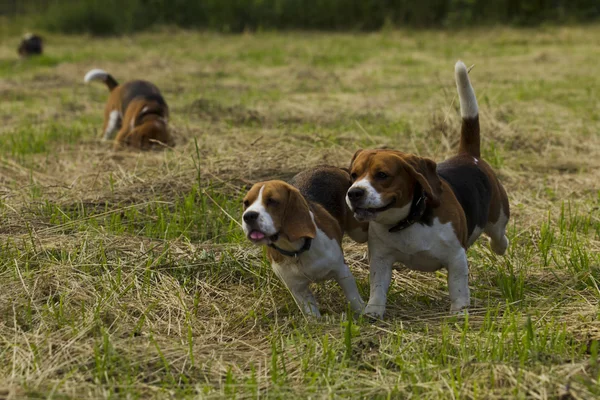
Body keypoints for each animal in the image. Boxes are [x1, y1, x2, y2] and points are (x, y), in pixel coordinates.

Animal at [241, 165, 368, 316]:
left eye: (272, 201)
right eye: (246, 203)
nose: (248, 216)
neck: (296, 248)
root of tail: (332, 167)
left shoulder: (342, 271)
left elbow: (353, 298)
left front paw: (364, 313)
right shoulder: (298, 289)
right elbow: (312, 315)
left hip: (359, 231)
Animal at [346, 61, 510, 318]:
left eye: (382, 175)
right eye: (353, 175)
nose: (354, 193)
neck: (408, 222)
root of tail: (468, 156)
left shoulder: (456, 257)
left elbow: (458, 287)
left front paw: (459, 312)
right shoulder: (381, 259)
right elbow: (378, 286)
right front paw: (373, 311)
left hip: (498, 216)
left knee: (499, 236)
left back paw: (500, 246)